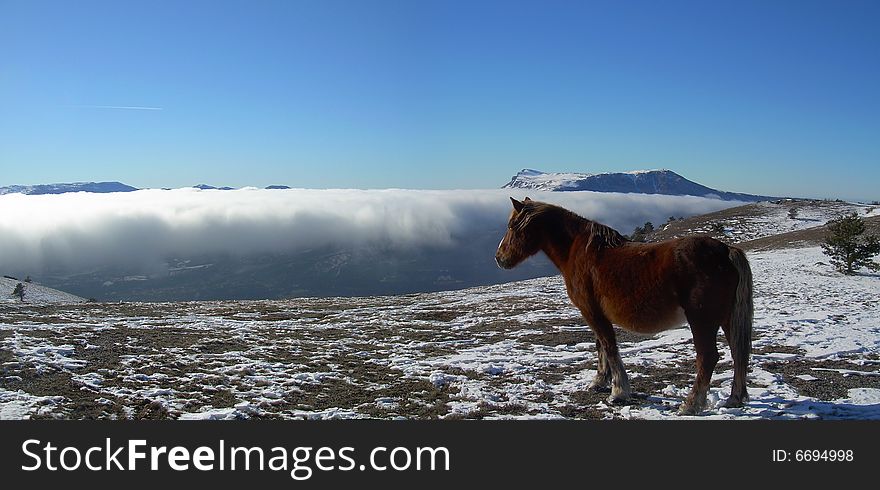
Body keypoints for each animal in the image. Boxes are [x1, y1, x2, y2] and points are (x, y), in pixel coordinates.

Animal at [492, 197, 752, 416]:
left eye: (512, 225)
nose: (499, 258)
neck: (579, 251)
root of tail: (726, 251)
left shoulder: (591, 312)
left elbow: (609, 347)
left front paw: (618, 392)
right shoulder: (597, 314)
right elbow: (600, 345)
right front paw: (599, 382)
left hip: (702, 320)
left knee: (708, 357)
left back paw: (691, 405)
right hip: (727, 319)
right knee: (738, 353)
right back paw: (735, 399)